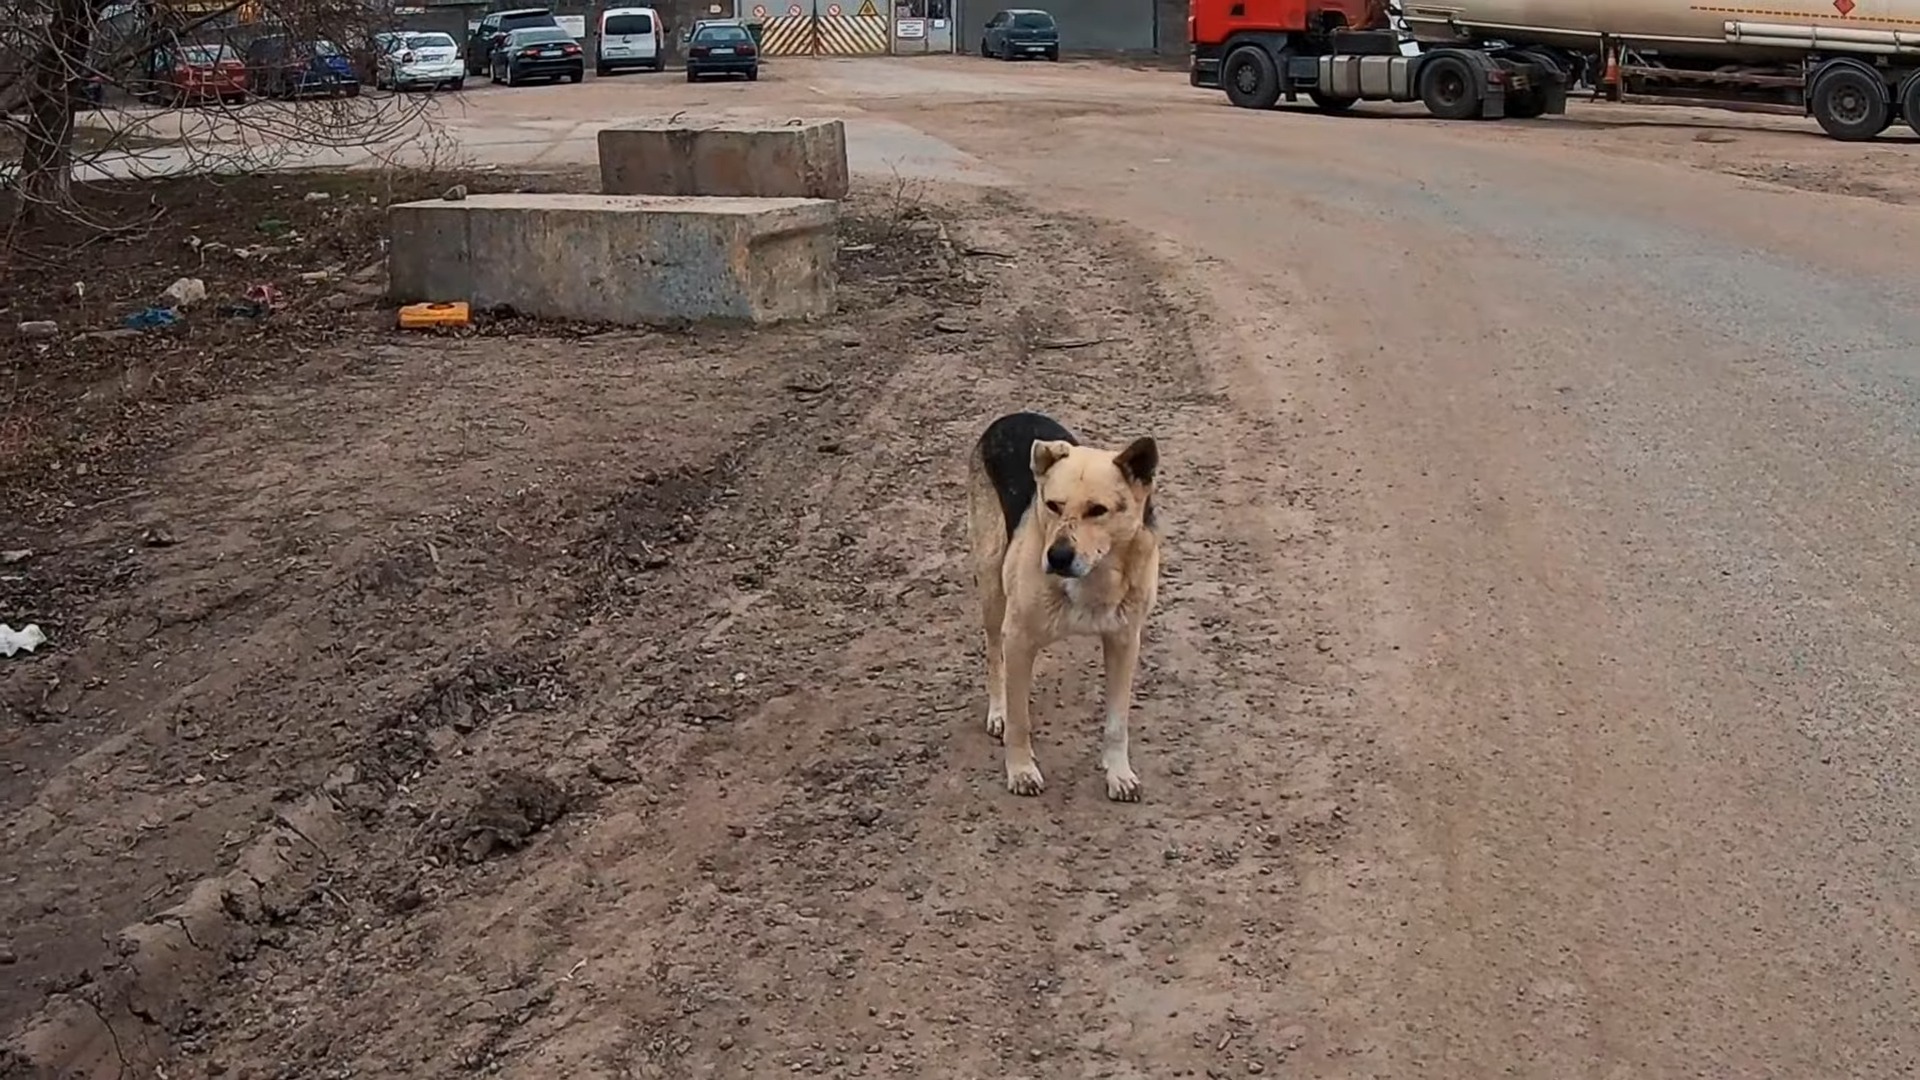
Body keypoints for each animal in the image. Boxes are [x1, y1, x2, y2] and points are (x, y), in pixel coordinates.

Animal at [967, 407, 1159, 795]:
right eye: (1052, 506)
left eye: (1098, 510)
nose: (1056, 557)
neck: (1096, 576)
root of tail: (1012, 415)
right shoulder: (1019, 638)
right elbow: (1020, 721)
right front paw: (1021, 770)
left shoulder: (1124, 641)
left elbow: (1117, 722)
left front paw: (1118, 773)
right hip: (993, 587)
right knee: (994, 653)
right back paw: (998, 711)